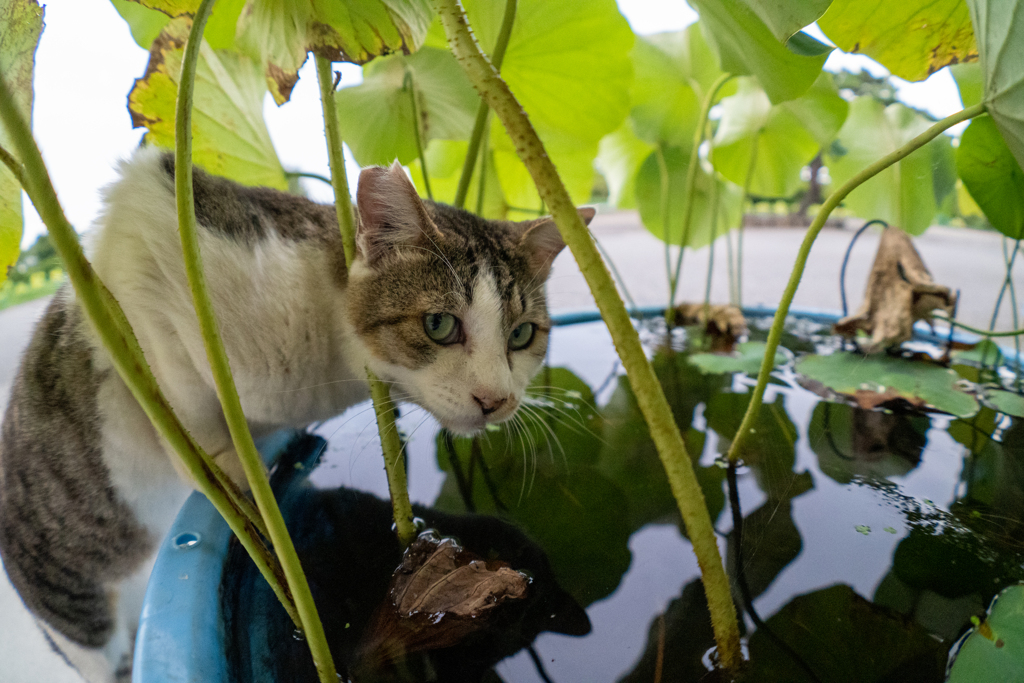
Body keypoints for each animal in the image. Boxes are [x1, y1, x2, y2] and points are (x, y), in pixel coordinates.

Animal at [0, 149, 593, 683]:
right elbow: (170, 375)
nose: (497, 399)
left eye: (522, 335)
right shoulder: (147, 223)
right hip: (75, 608)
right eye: (440, 325)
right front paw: (224, 465)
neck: (328, 361)